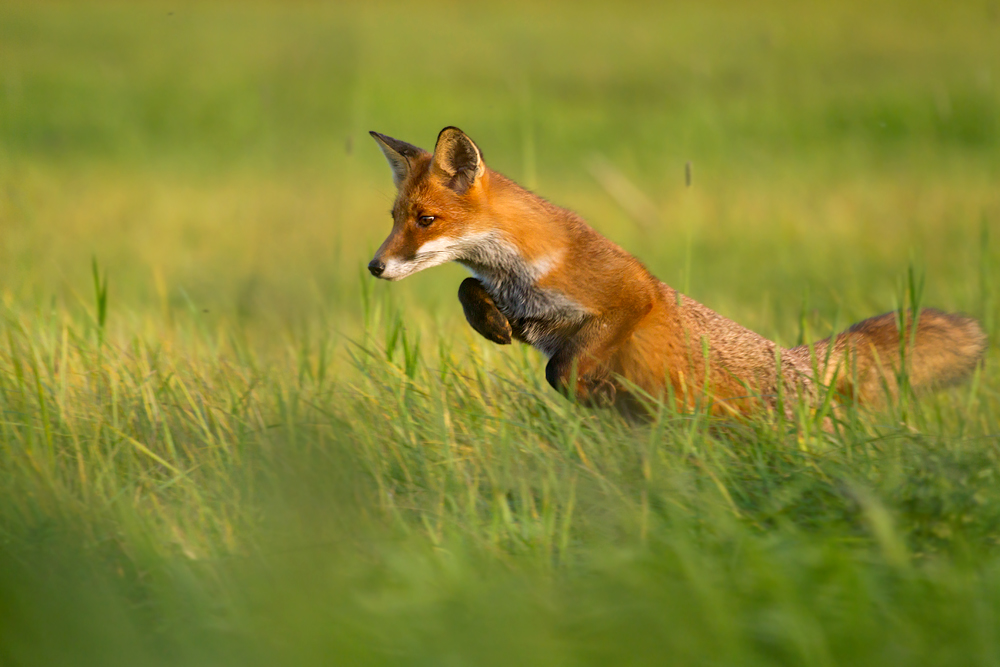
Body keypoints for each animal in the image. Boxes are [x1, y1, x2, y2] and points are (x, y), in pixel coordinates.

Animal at [372, 127, 988, 414]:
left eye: (426, 220)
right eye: (395, 218)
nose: (375, 266)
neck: (524, 273)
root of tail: (804, 365)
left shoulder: (630, 295)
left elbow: (562, 372)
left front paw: (600, 400)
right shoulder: (535, 316)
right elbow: (466, 286)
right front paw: (490, 323)